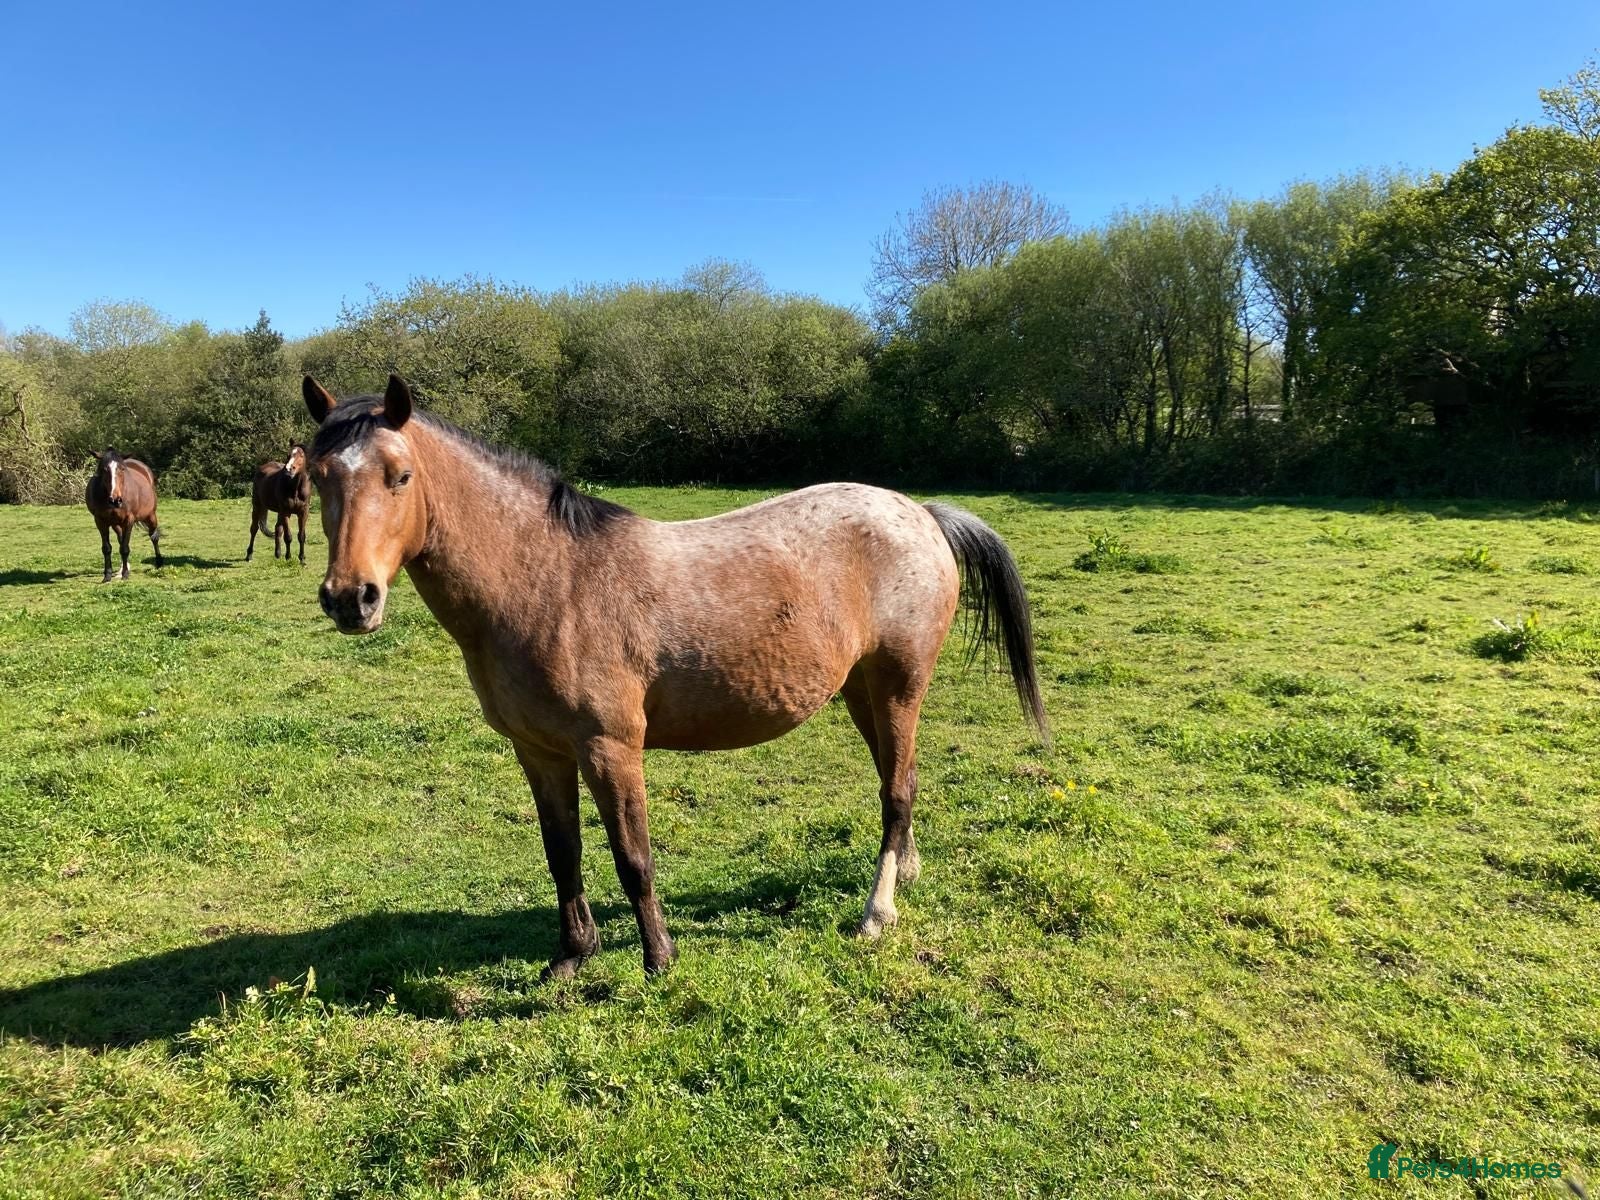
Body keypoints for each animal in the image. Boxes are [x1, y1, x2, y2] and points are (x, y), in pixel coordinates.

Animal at [85, 447, 163, 582]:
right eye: (104, 469)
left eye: (122, 469)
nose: (115, 500)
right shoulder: (100, 521)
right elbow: (107, 548)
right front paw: (107, 575)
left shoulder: (129, 520)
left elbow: (125, 548)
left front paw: (125, 574)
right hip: (116, 524)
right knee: (121, 540)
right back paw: (121, 568)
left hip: (150, 516)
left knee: (154, 537)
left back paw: (158, 562)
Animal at [301, 374, 1048, 977]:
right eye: (317, 478)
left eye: (399, 476)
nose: (350, 598)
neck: (548, 583)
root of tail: (921, 513)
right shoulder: (539, 752)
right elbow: (562, 853)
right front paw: (571, 957)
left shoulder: (610, 748)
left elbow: (632, 857)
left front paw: (658, 959)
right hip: (861, 691)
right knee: (902, 780)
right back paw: (907, 875)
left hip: (898, 686)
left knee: (895, 792)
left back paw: (876, 913)